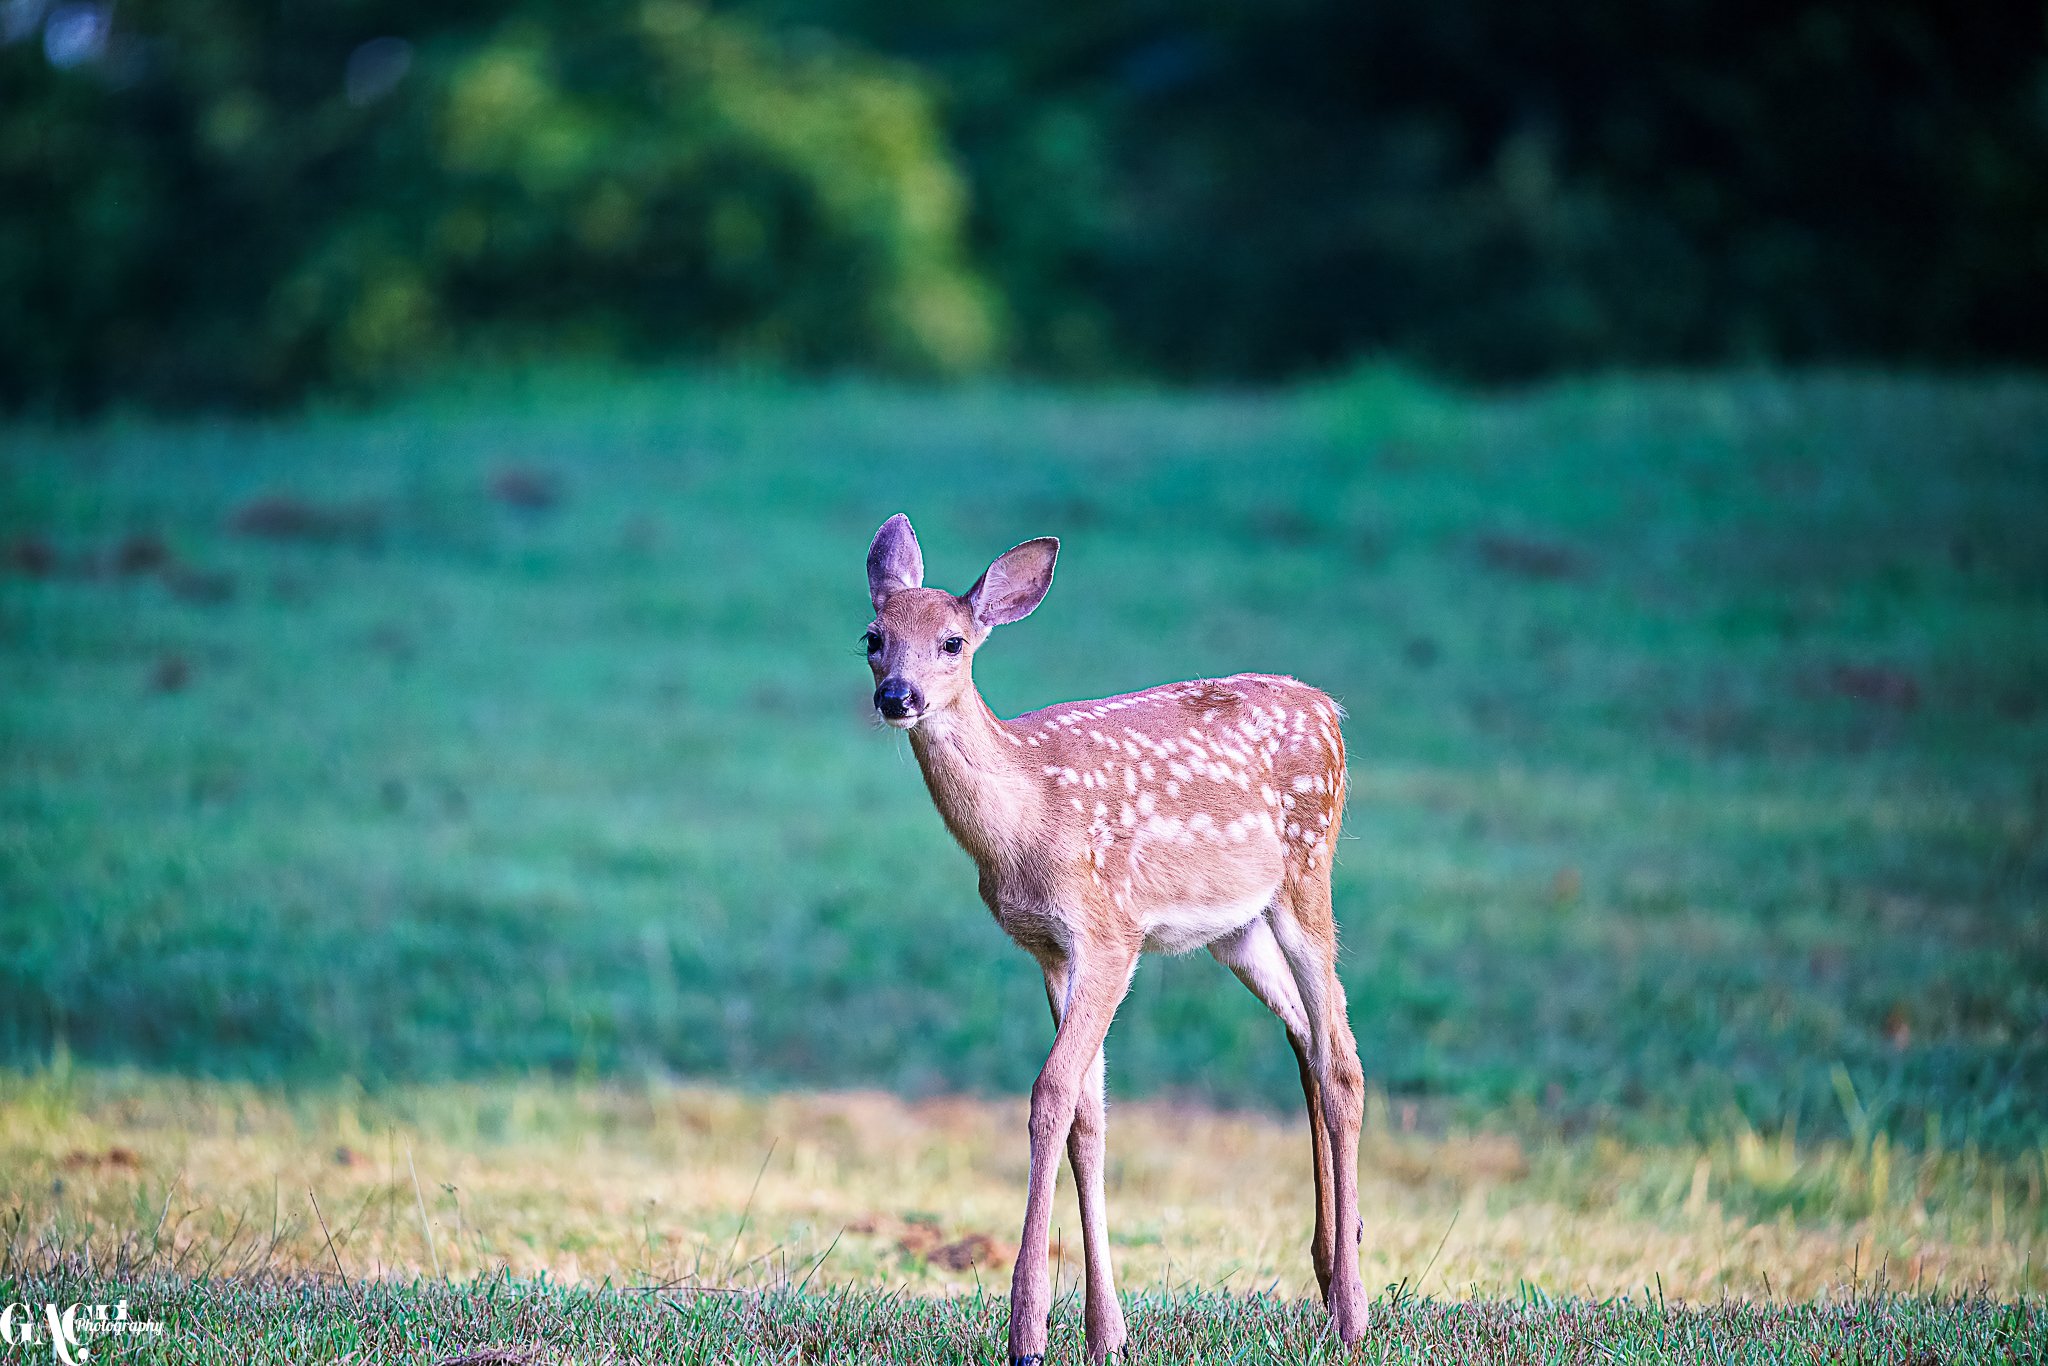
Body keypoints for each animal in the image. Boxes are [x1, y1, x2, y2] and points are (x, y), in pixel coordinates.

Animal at [862, 514, 1370, 1364]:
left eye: (953, 641)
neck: (1026, 820)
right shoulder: (1049, 950)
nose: (897, 696)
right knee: (1305, 1036)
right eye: (872, 636)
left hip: (1308, 869)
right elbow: (1088, 1117)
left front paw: (1028, 1332)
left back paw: (1354, 1314)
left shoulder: (1109, 933)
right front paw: (1107, 1332)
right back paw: (1331, 1270)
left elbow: (1050, 1095)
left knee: (1340, 1061)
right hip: (1237, 929)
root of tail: (1330, 710)